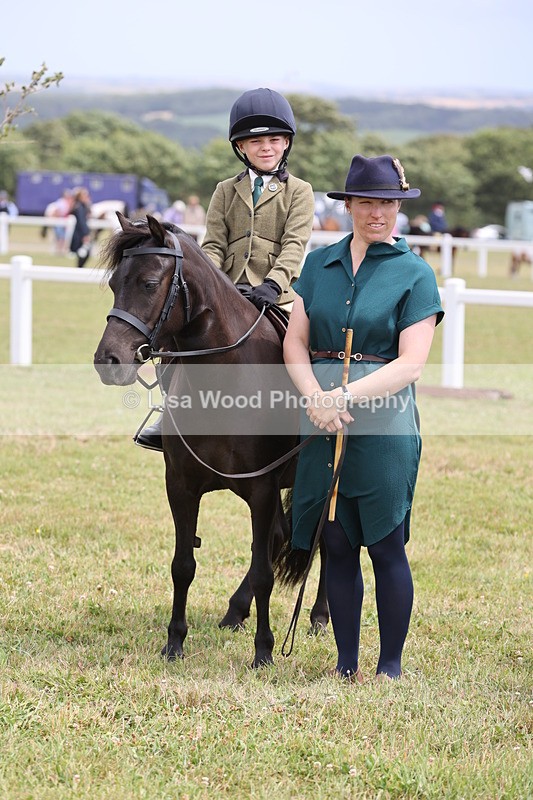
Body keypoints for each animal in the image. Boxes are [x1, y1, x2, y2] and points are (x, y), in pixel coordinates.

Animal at [93, 213, 328, 668]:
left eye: (149, 283)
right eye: (114, 284)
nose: (108, 362)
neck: (226, 375)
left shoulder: (262, 487)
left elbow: (264, 570)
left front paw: (264, 651)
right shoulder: (181, 485)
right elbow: (183, 565)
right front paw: (174, 642)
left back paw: (321, 616)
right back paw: (235, 612)